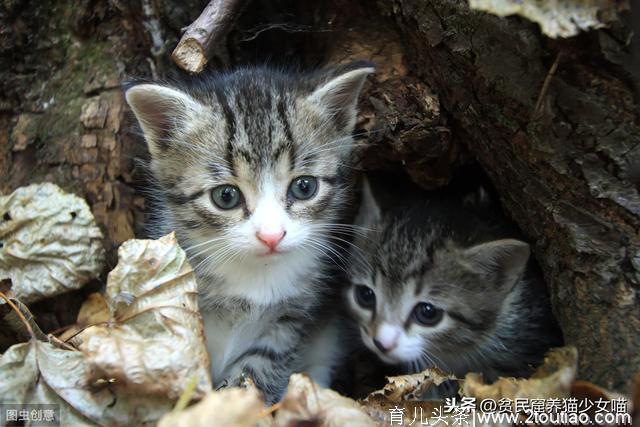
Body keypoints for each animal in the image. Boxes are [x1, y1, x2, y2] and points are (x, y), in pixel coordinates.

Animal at [125, 61, 372, 402]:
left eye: (304, 187)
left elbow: (260, 368)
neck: (255, 276)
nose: (271, 236)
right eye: (226, 196)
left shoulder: (291, 318)